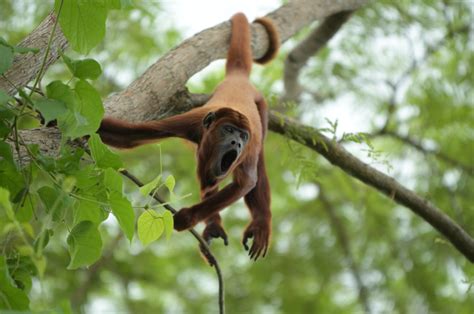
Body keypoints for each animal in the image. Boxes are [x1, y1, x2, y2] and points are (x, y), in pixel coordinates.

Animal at [98, 12, 280, 260]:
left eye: (242, 136)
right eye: (228, 130)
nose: (236, 142)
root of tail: (238, 80)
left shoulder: (249, 144)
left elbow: (247, 182)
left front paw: (187, 218)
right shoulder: (191, 122)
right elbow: (131, 136)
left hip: (261, 107)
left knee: (257, 166)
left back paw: (261, 223)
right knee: (207, 178)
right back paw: (213, 225)